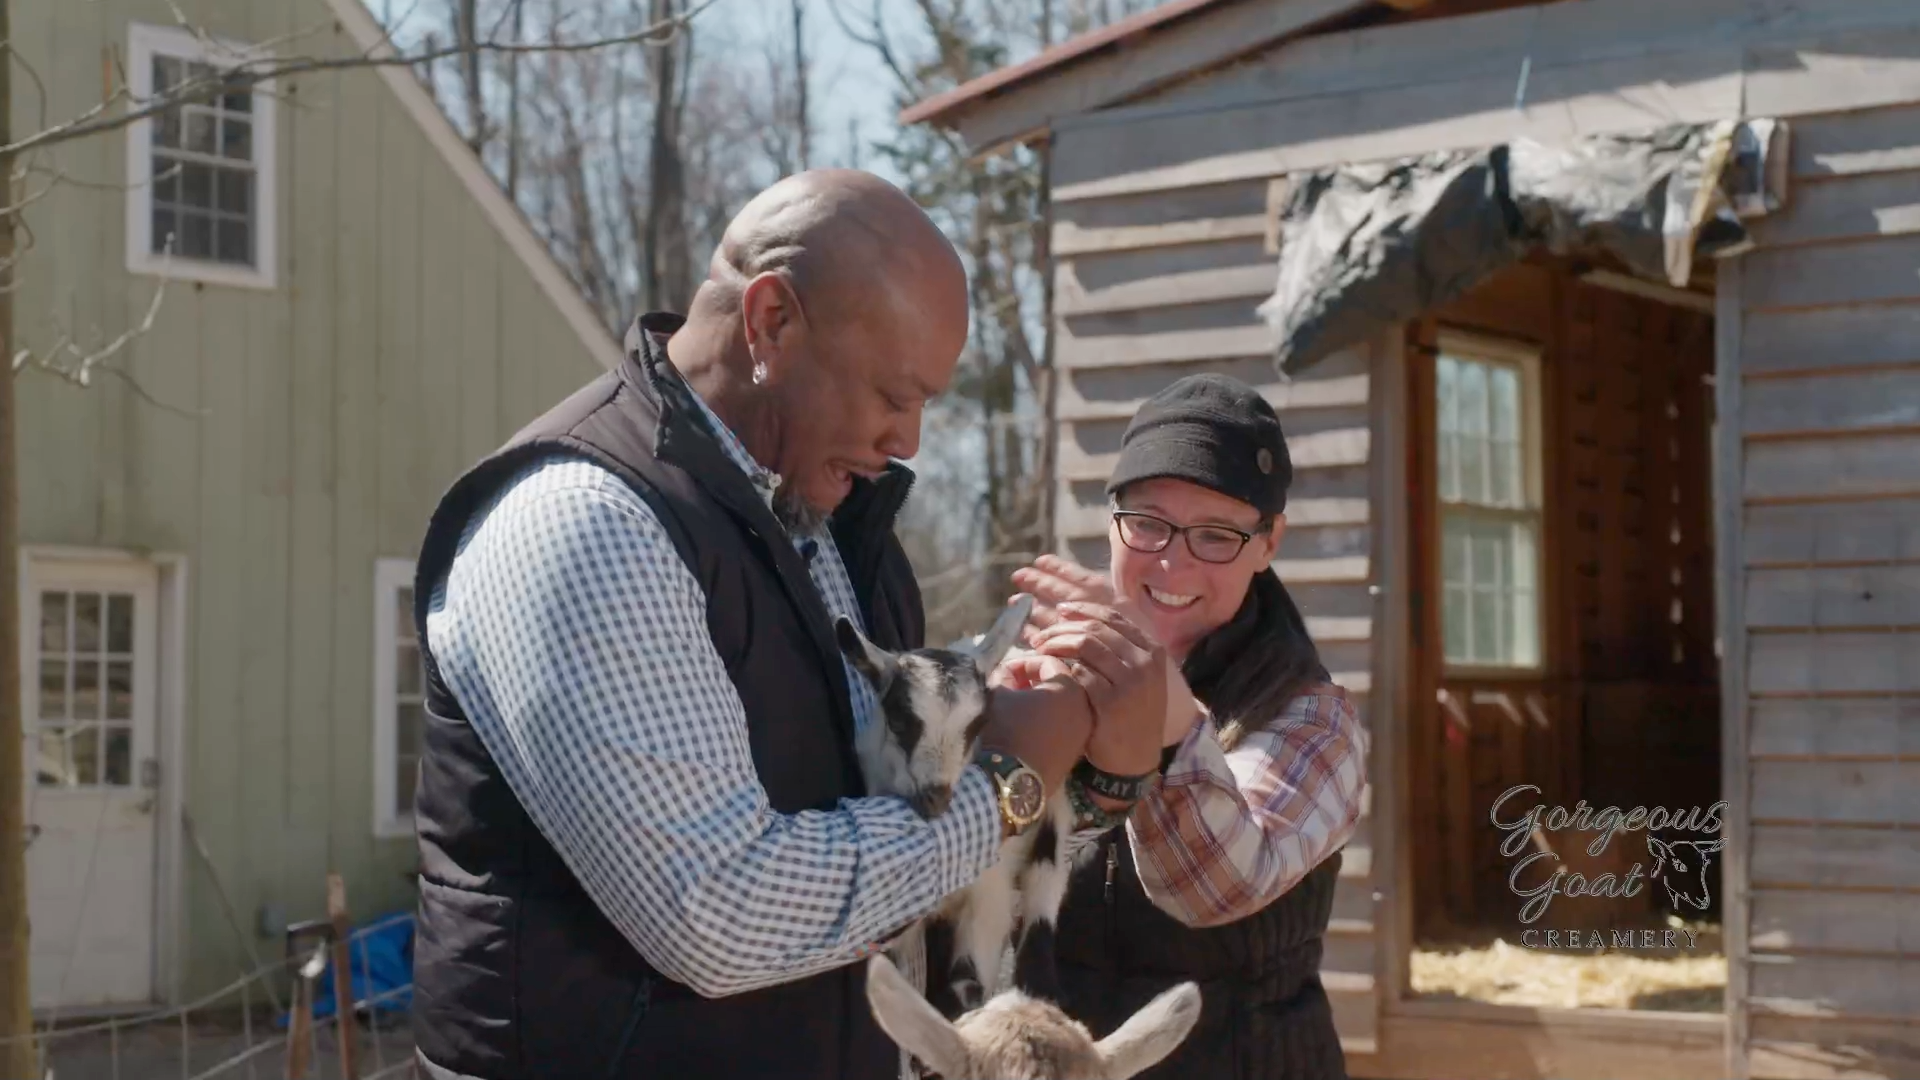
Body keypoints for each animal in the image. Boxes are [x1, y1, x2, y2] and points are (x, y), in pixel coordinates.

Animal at [833, 595, 1082, 1006]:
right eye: (899, 720)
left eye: (978, 724)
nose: (936, 796)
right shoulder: (902, 923)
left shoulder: (990, 892)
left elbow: (967, 985)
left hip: (1053, 821)